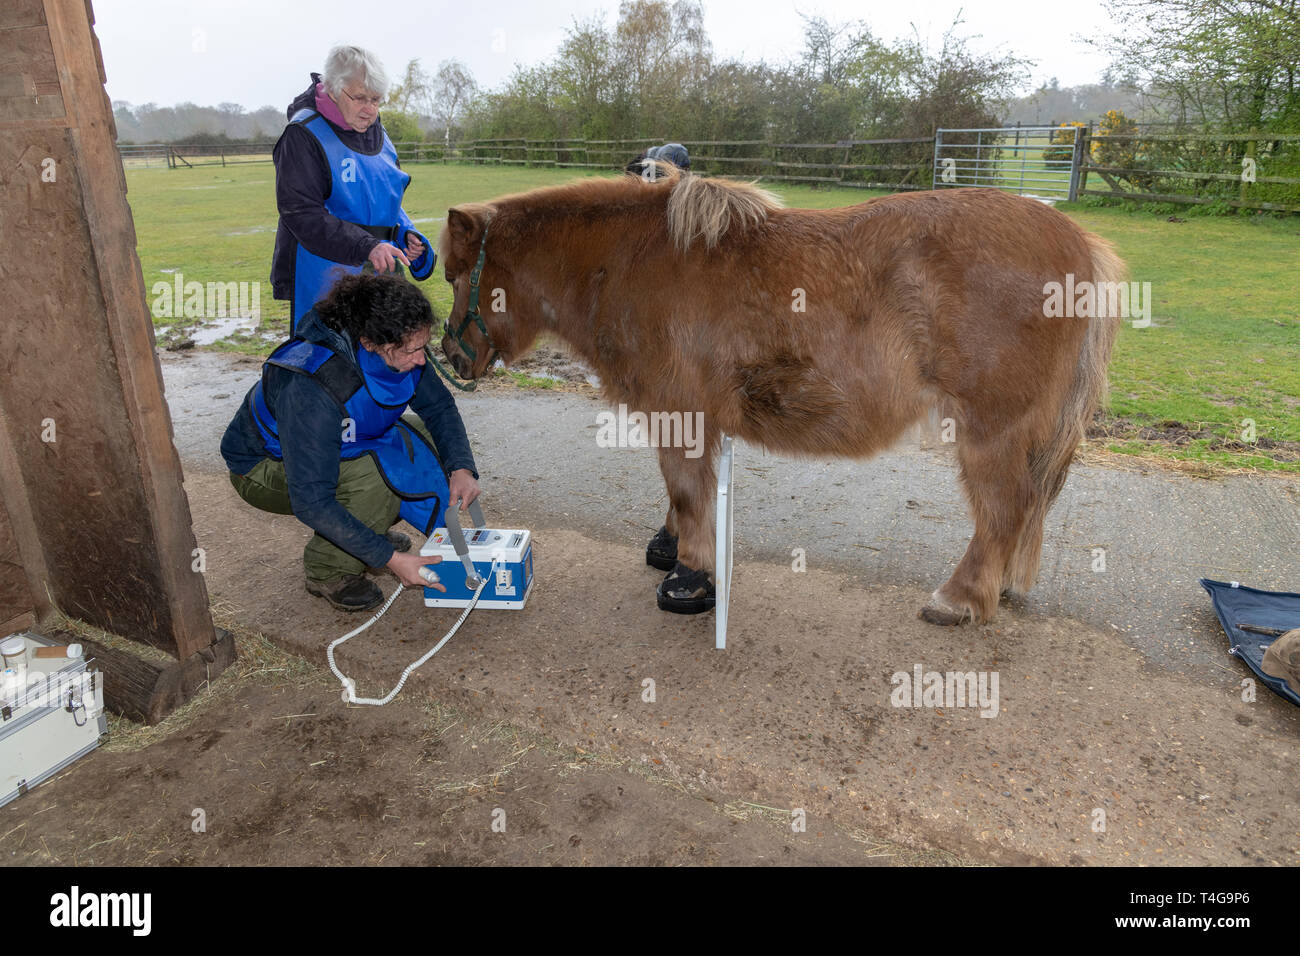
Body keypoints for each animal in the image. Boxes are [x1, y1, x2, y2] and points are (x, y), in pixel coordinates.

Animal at [434, 167, 1118, 624]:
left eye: (456, 273)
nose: (449, 354)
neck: (632, 260)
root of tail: (1081, 242)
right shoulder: (696, 419)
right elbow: (688, 492)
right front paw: (678, 553)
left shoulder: (679, 413)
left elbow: (686, 494)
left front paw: (690, 578)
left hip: (990, 429)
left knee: (1003, 511)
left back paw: (961, 598)